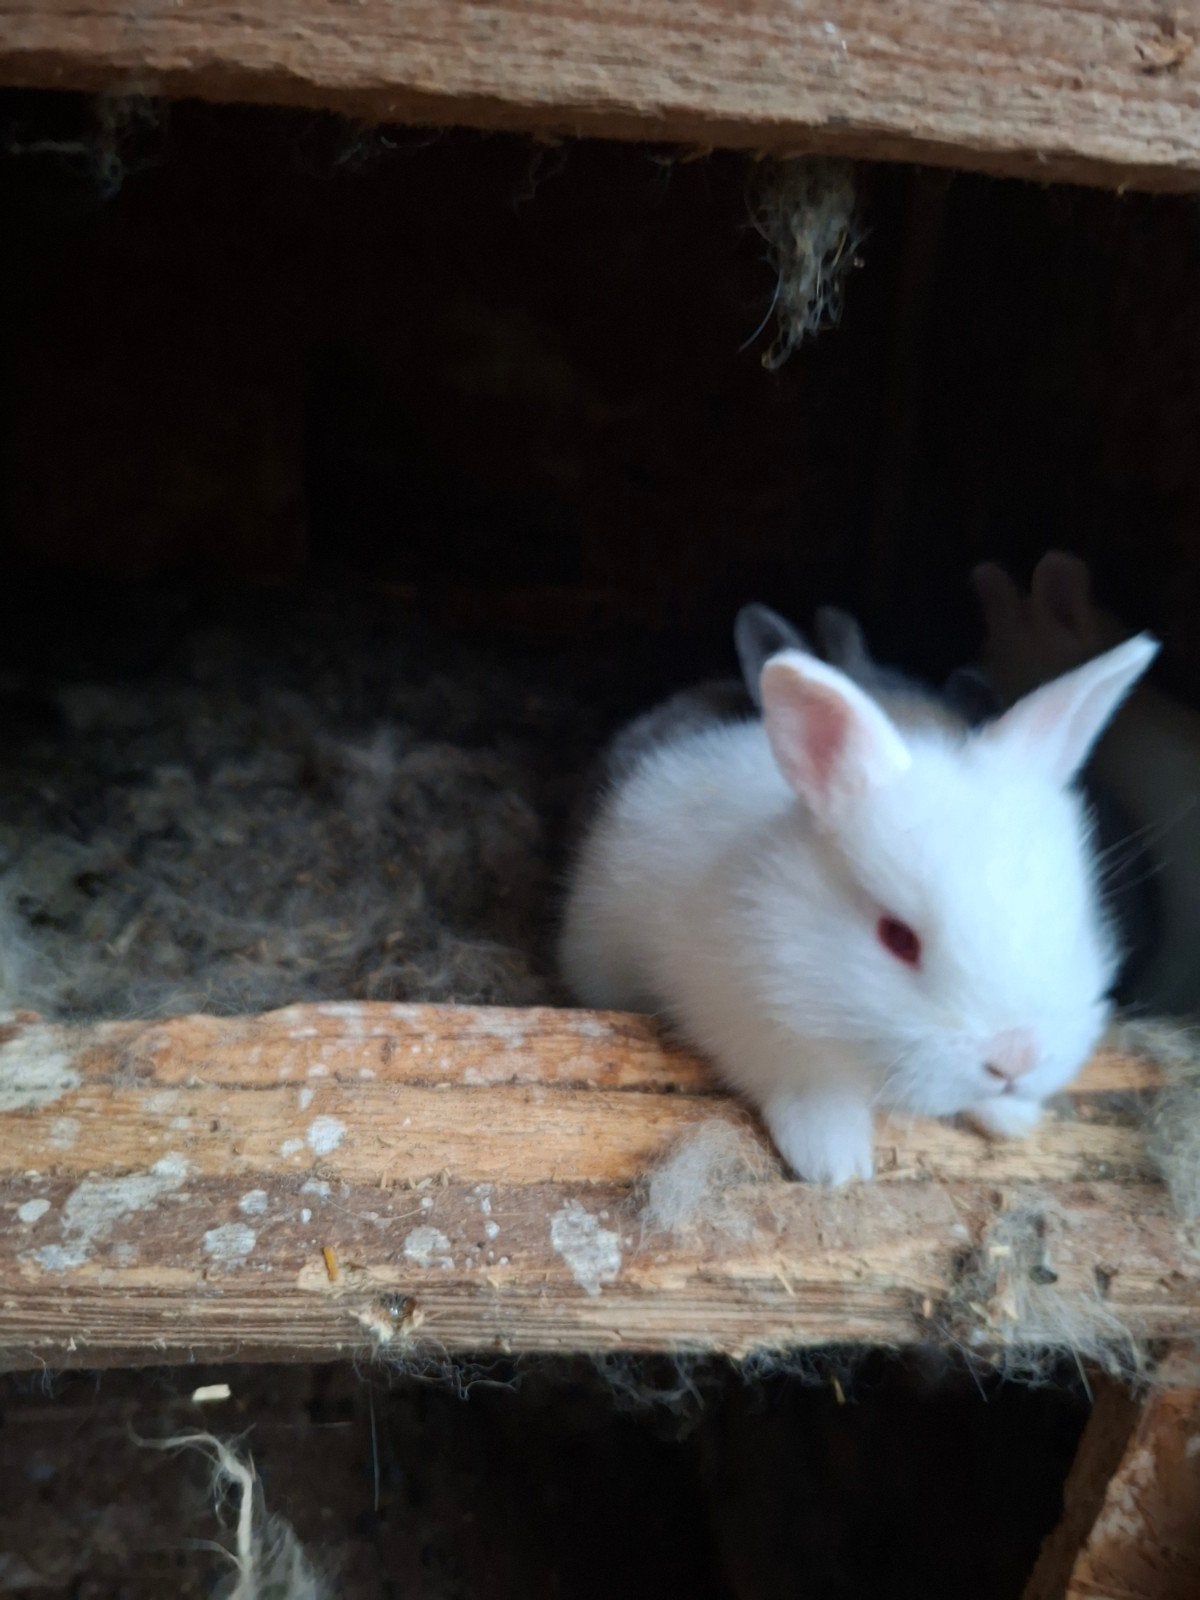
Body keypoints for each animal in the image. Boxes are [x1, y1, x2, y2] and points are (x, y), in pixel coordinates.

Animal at [558, 623, 1157, 1184]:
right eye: (897, 938)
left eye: (1075, 928)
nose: (1015, 1058)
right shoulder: (756, 1030)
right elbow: (812, 1091)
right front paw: (833, 1163)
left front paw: (1014, 1118)